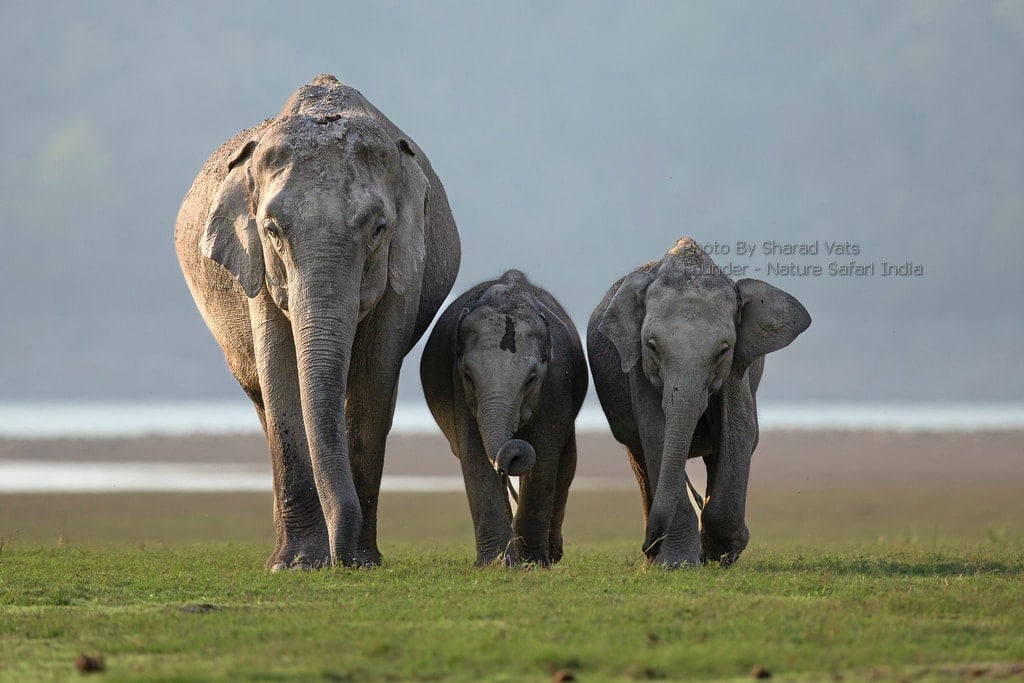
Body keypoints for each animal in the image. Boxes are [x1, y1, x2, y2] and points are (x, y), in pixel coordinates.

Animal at [174, 75, 460, 569]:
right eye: (272, 230)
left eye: (378, 229)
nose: (339, 559)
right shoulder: (257, 272)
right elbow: (279, 373)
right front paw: (297, 565)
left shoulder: (405, 271)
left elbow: (373, 382)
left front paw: (361, 561)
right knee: (261, 400)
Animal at [420, 270, 588, 566]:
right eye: (468, 376)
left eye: (531, 378)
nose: (512, 453)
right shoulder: (458, 389)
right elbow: (474, 454)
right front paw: (496, 564)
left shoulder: (557, 382)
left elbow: (545, 455)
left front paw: (533, 564)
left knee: (566, 462)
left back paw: (548, 553)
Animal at [587, 237, 810, 567]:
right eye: (652, 346)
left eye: (723, 350)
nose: (647, 545)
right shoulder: (637, 366)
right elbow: (655, 433)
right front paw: (677, 564)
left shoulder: (737, 366)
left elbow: (739, 431)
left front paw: (724, 552)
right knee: (640, 456)